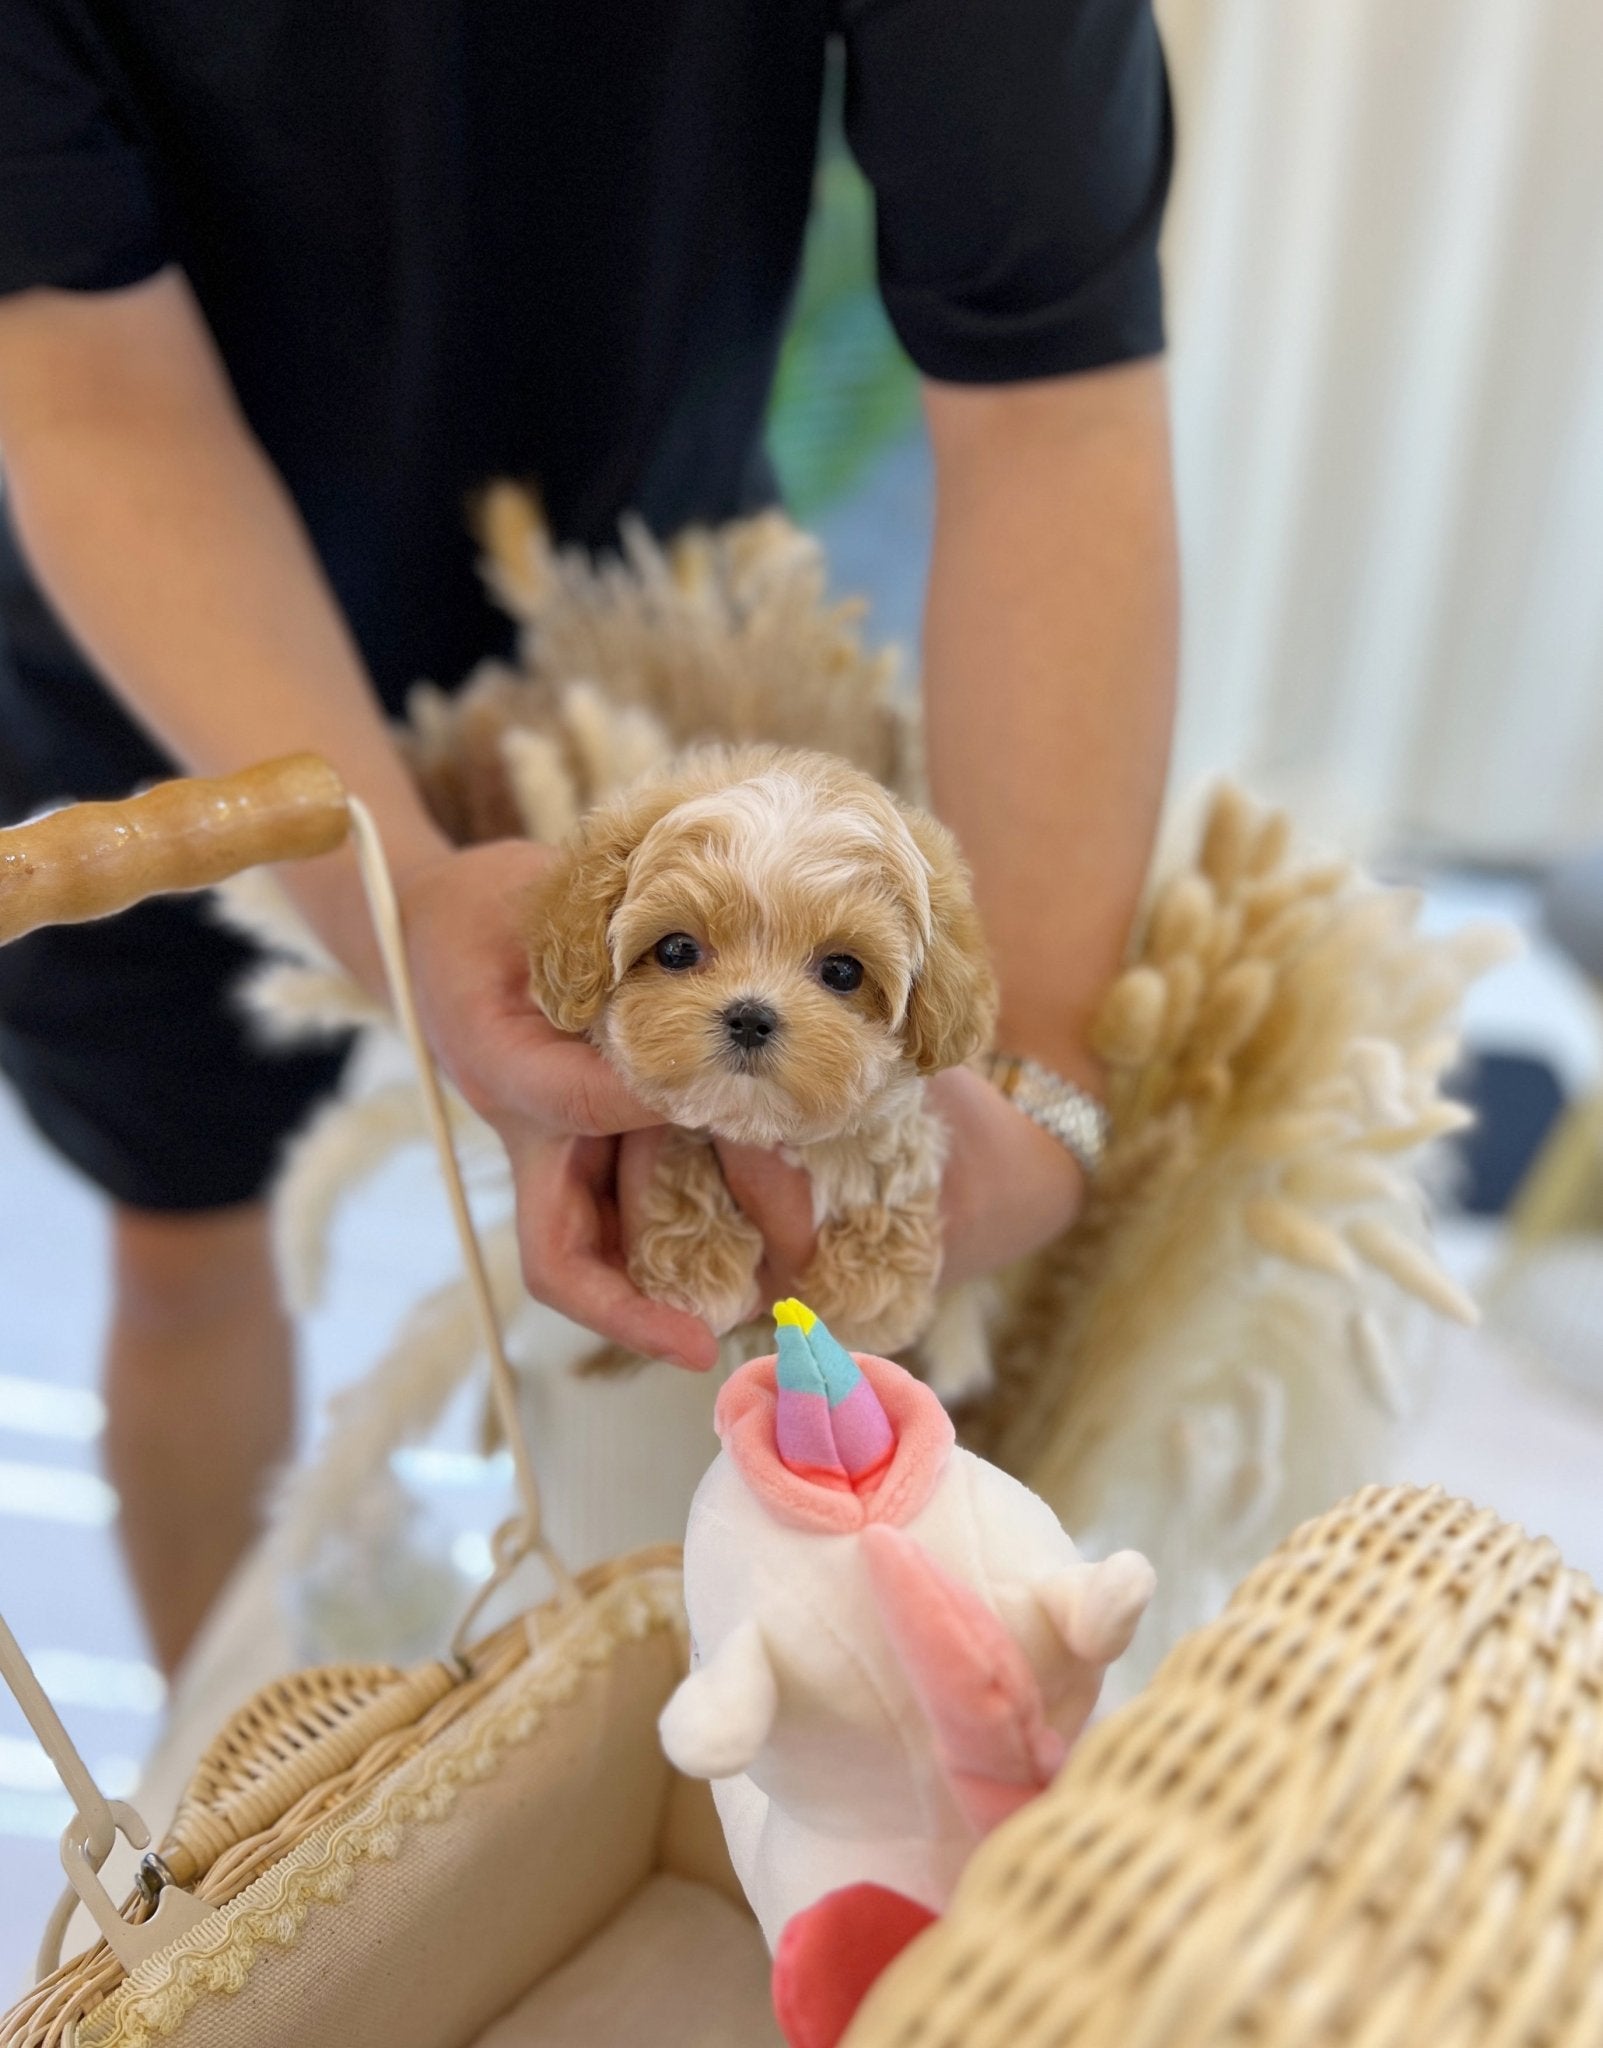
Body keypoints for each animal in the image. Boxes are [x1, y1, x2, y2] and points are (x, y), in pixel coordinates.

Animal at [520, 745, 994, 1351]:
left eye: (843, 971)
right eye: (676, 950)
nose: (750, 1017)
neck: (762, 1124)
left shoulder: (900, 1118)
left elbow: (889, 1171)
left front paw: (867, 1299)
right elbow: (686, 1148)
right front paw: (697, 1265)